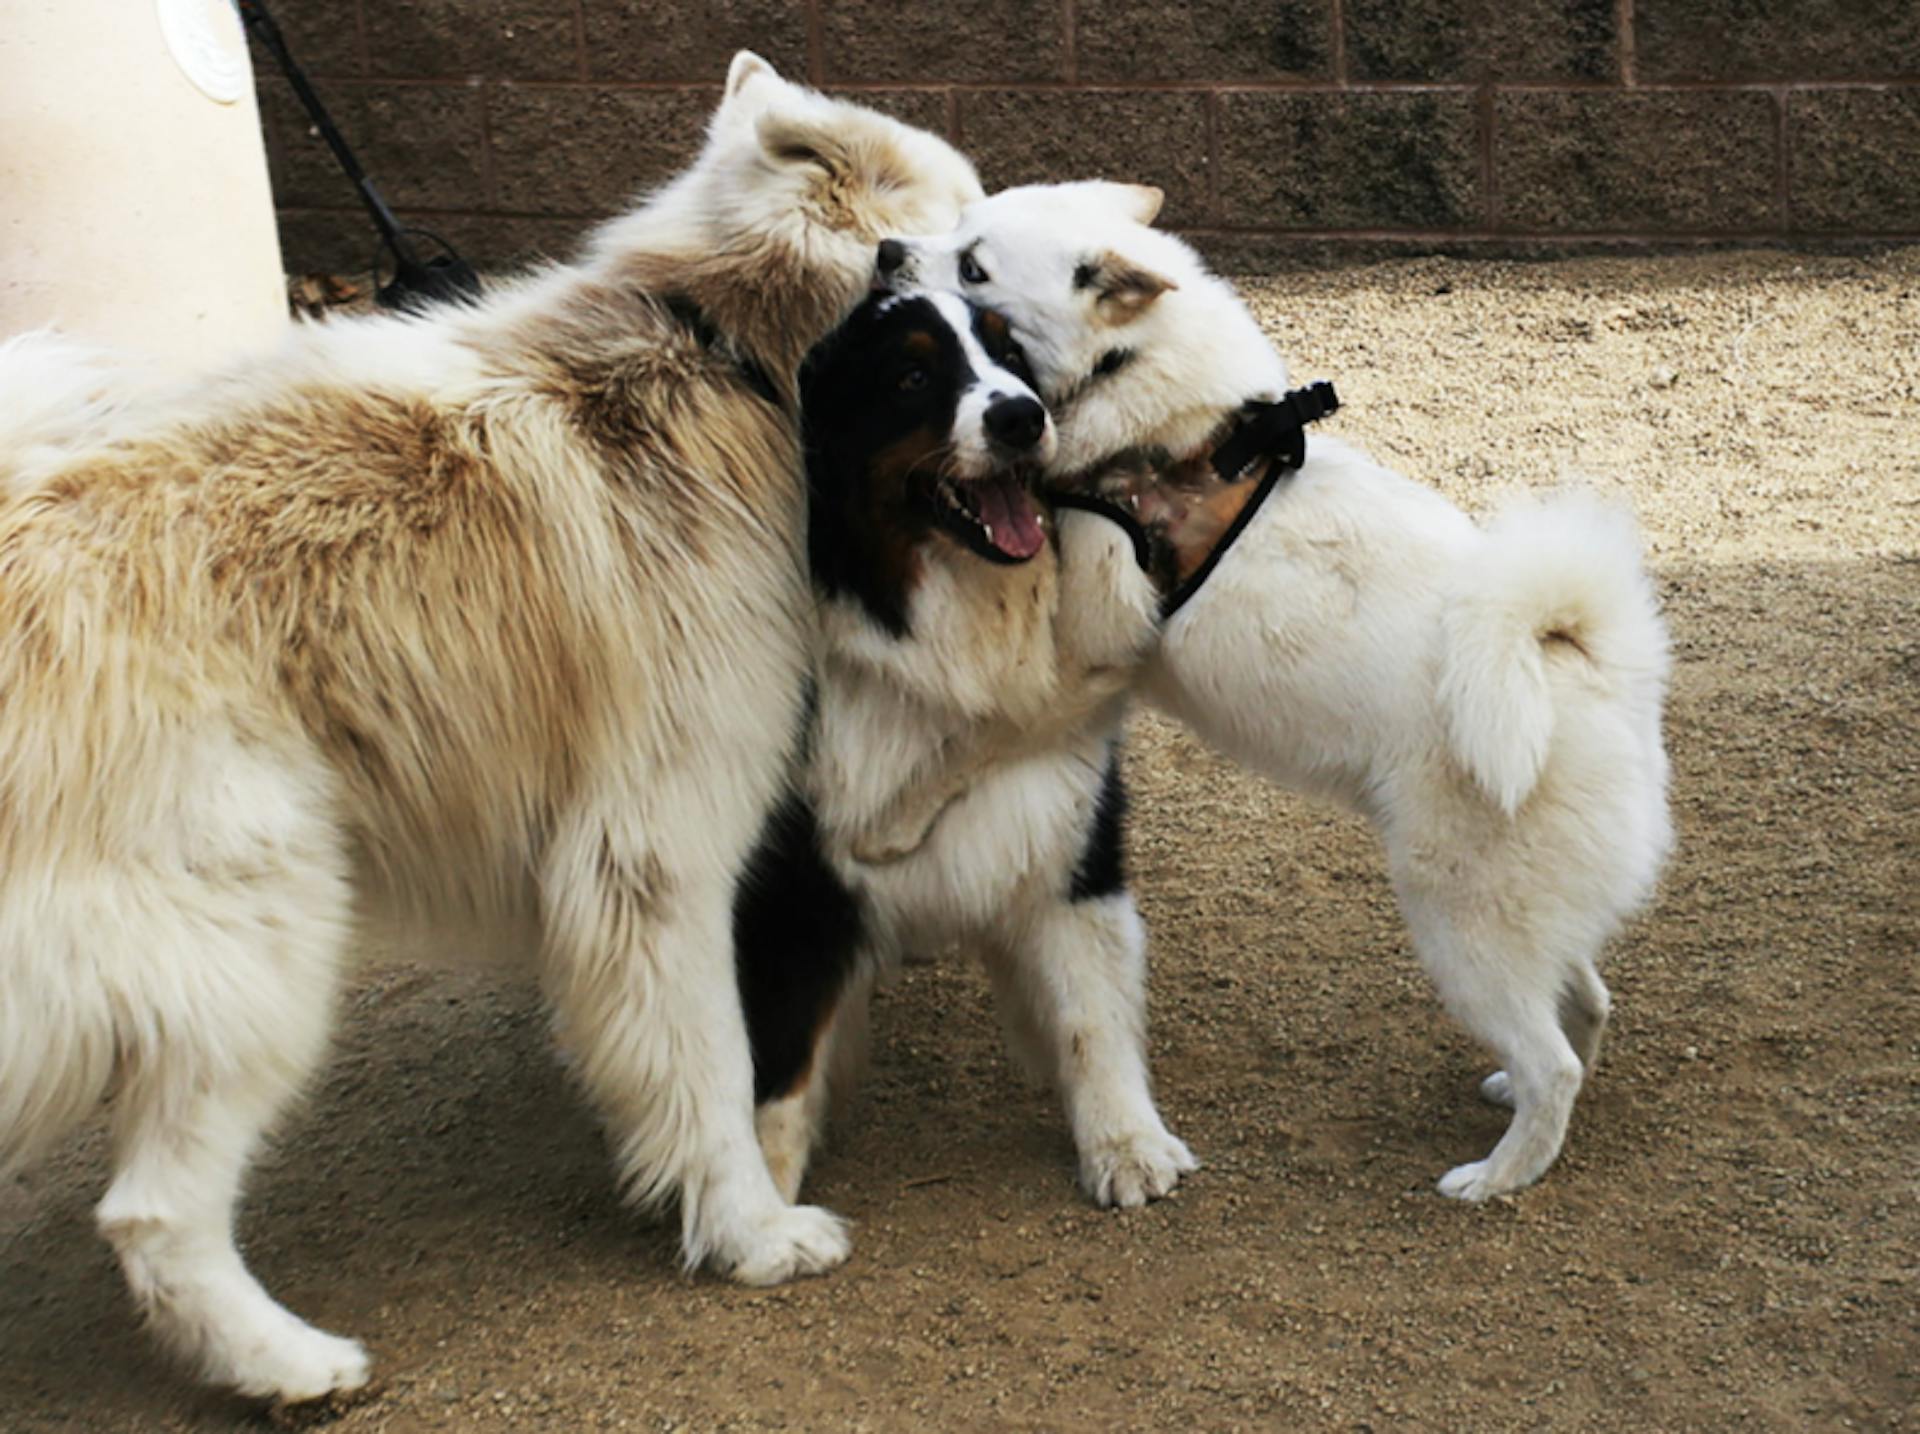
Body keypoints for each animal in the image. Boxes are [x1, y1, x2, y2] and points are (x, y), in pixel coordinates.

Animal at [0, 53, 983, 1405]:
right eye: (984, 238)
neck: (728, 361)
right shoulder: (656, 857)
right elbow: (712, 1069)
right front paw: (749, 1234)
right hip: (259, 940)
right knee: (153, 1214)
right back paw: (291, 1365)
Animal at [879, 185, 1674, 1205]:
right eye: (957, 223)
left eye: (974, 266)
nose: (887, 253)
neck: (1146, 402)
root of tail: (1581, 657)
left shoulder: (1086, 650)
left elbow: (976, 736)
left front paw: (900, 816)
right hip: (1525, 914)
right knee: (1585, 1005)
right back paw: (1509, 1102)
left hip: (1461, 927)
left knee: (1558, 1065)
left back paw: (1496, 1176)